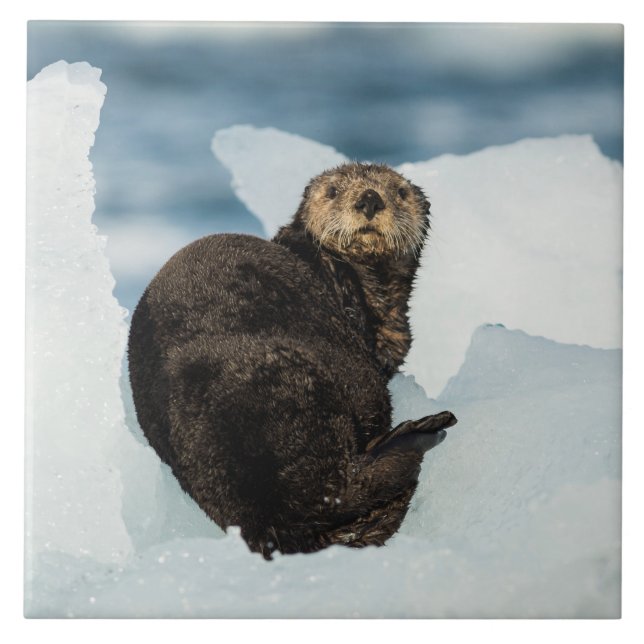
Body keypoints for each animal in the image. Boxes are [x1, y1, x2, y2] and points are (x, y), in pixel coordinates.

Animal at [128, 162, 456, 559]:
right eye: (333, 191)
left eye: (400, 192)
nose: (369, 199)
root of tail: (269, 518)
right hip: (313, 389)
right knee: (345, 485)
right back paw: (422, 431)